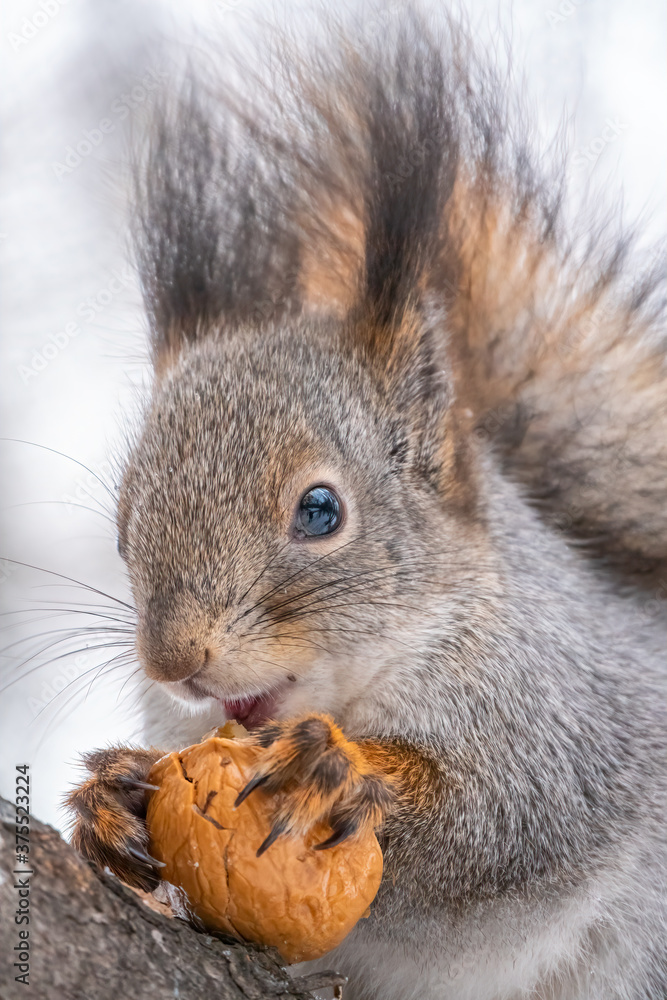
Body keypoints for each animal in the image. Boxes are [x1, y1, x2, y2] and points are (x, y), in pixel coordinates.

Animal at [65, 11, 667, 999]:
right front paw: (111, 796)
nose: (175, 660)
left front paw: (340, 772)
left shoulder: (569, 725)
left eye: (319, 511)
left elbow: (496, 828)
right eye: (123, 527)